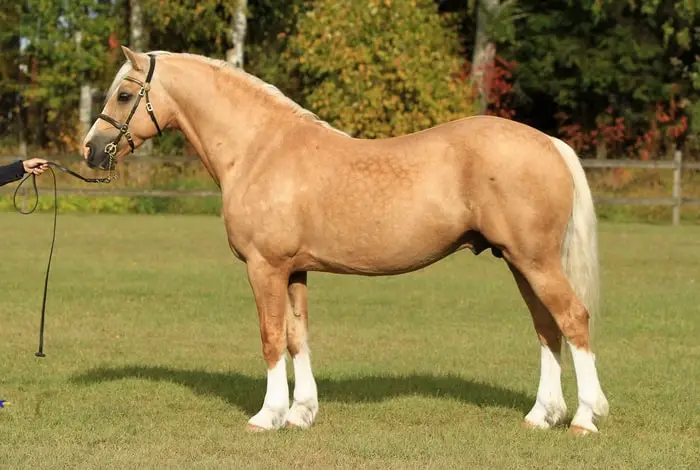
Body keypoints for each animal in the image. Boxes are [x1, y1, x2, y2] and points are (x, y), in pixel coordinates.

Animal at [82, 46, 608, 434]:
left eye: (125, 94)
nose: (91, 150)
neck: (259, 149)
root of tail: (549, 144)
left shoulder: (265, 267)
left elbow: (271, 337)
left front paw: (267, 416)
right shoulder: (294, 269)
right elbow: (297, 337)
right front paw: (300, 413)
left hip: (536, 261)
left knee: (573, 319)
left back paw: (585, 418)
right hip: (520, 262)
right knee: (546, 328)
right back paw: (541, 416)